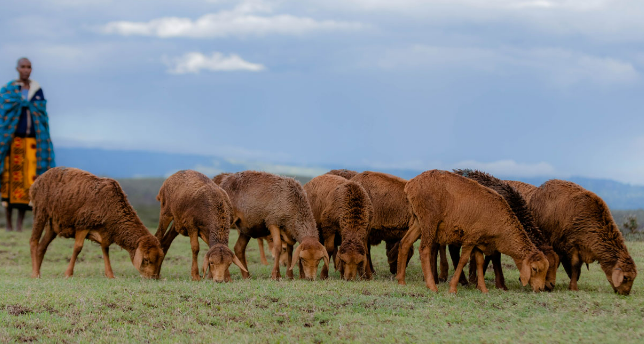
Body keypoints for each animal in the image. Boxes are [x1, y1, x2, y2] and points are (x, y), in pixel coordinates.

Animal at [29, 167, 164, 280]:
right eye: (146, 260)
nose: (153, 278)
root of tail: (37, 181)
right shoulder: (83, 223)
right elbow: (78, 248)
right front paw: (68, 274)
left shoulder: (105, 232)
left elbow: (105, 250)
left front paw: (110, 275)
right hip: (40, 211)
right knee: (33, 242)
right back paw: (35, 274)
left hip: (54, 224)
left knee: (42, 247)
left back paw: (38, 273)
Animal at [398, 169, 548, 292]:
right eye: (535, 269)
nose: (541, 289)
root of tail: (411, 183)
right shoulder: (470, 238)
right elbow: (463, 260)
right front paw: (453, 288)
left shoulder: (479, 241)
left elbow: (480, 261)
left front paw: (483, 288)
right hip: (429, 221)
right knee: (424, 250)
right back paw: (432, 285)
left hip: (418, 220)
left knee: (405, 243)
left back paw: (401, 280)